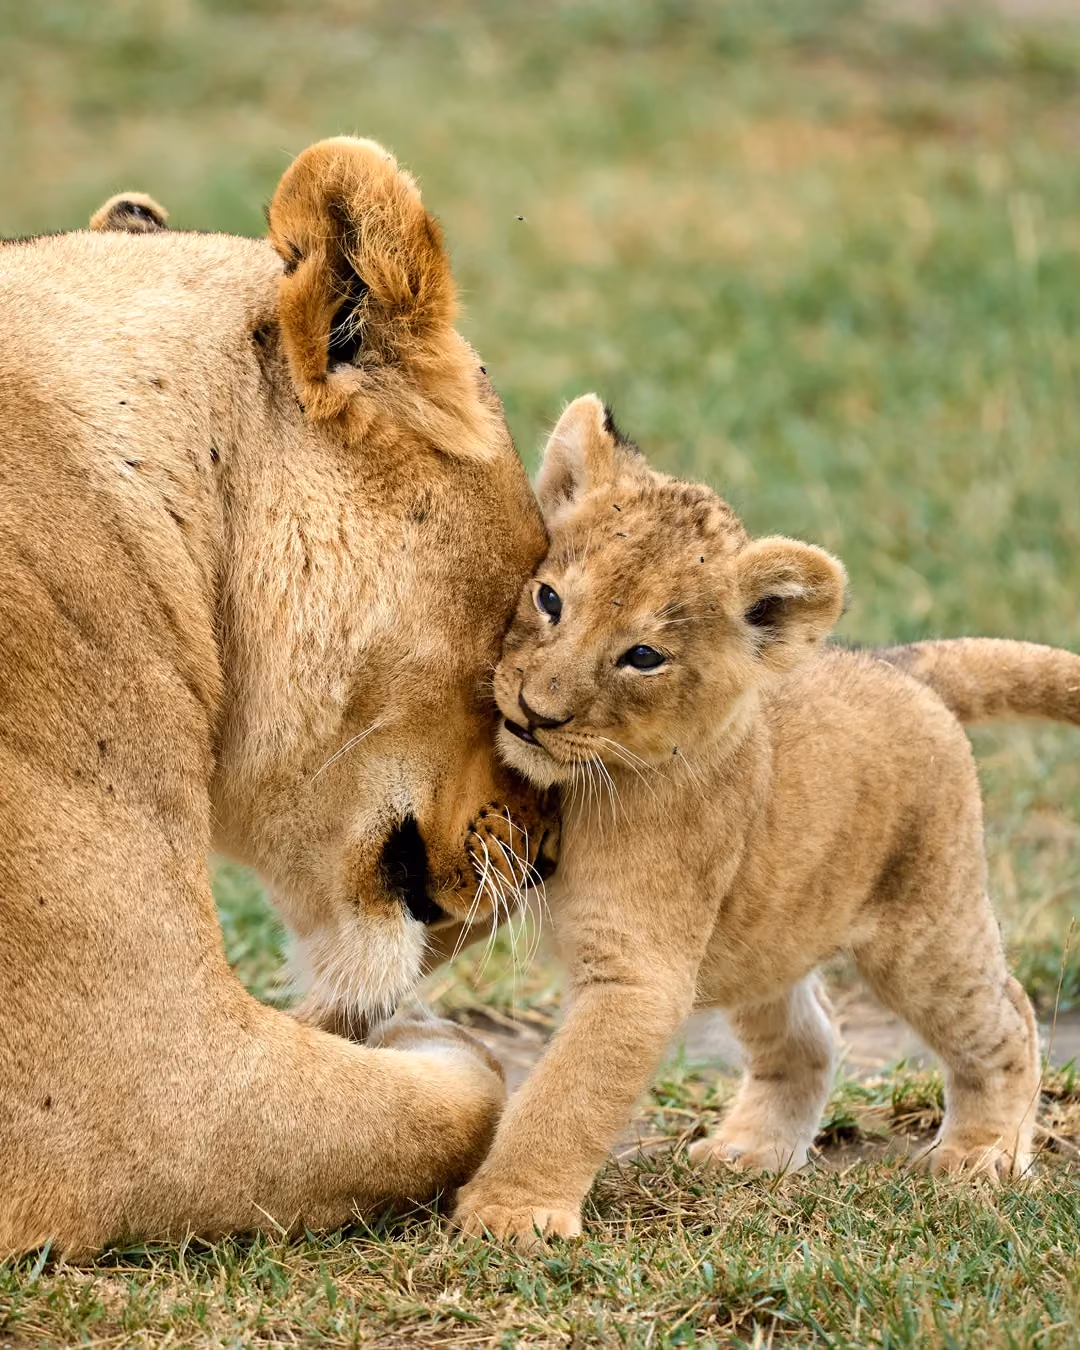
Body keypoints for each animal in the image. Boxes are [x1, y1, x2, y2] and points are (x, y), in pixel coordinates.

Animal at [452, 394, 1080, 1247]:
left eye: (643, 656)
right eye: (549, 600)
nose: (534, 713)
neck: (581, 787)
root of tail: (896, 663)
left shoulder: (639, 971)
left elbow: (568, 1094)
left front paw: (510, 1213)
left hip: (925, 930)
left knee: (1006, 1017)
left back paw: (983, 1153)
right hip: (765, 931)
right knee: (811, 1039)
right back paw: (750, 1151)